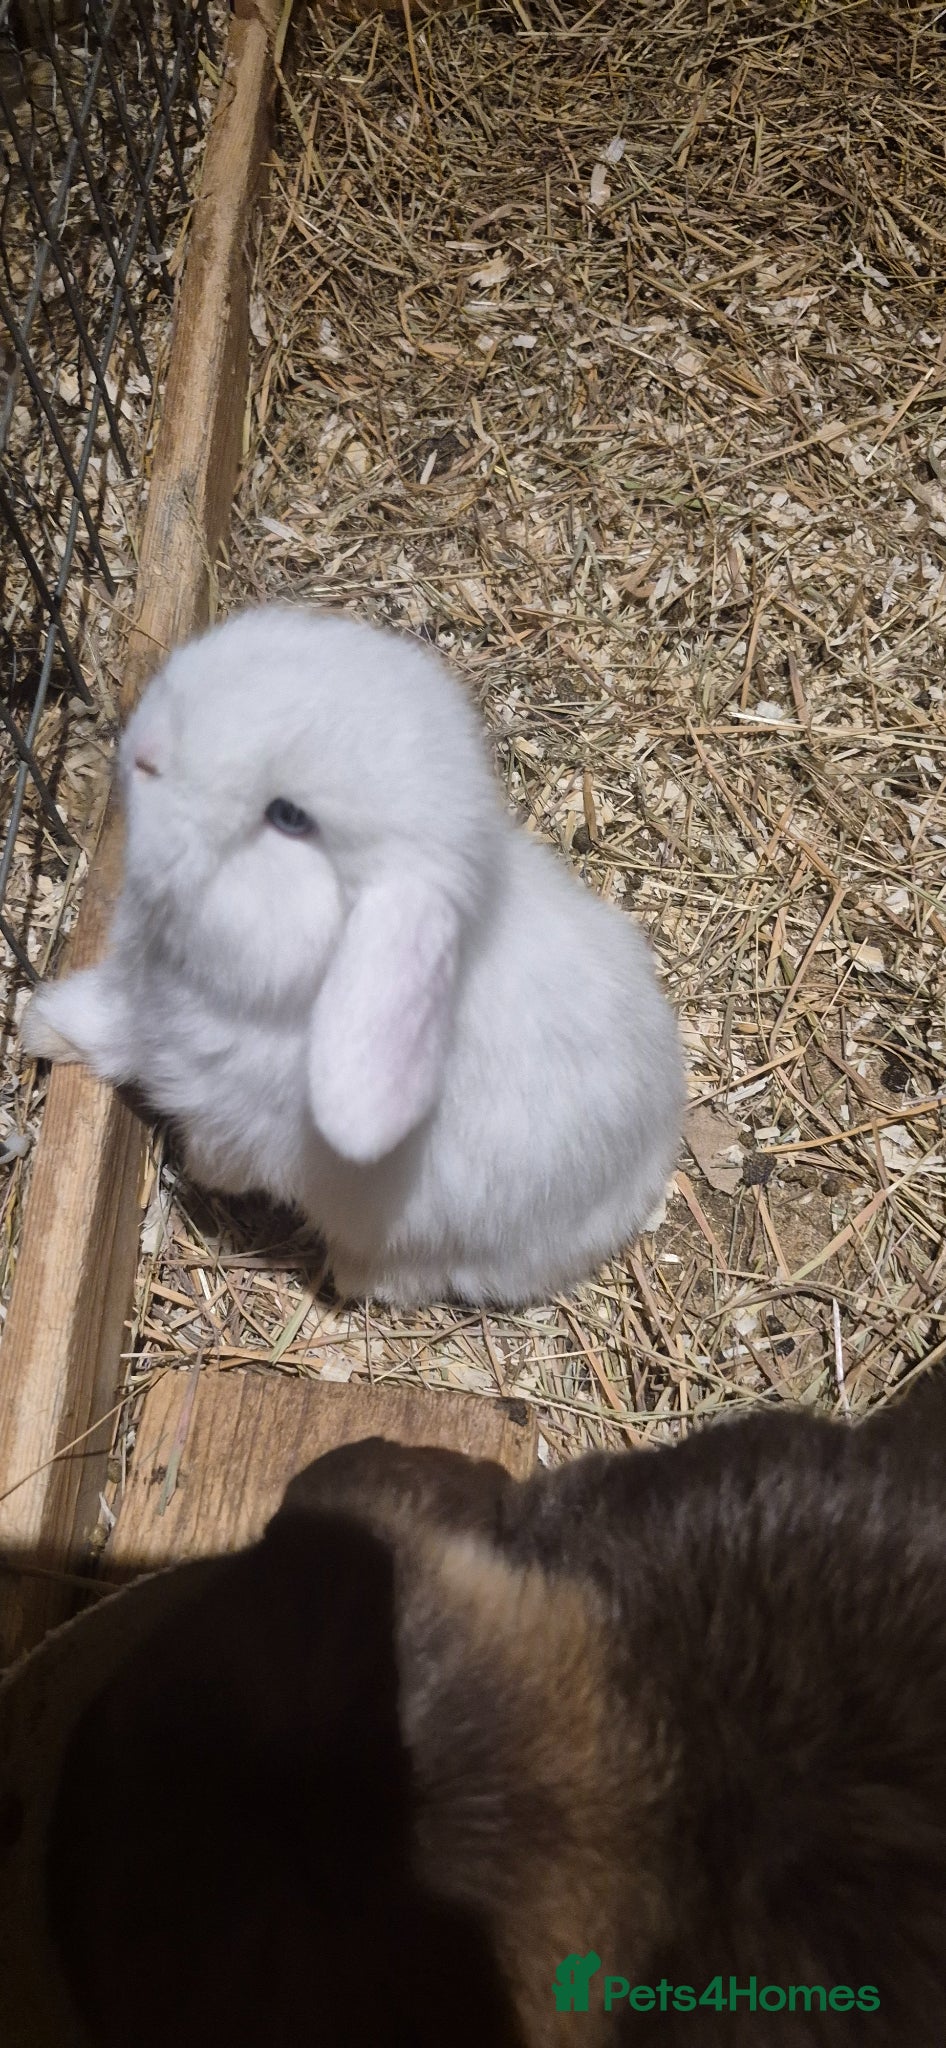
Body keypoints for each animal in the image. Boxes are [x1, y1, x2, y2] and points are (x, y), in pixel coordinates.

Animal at [21, 605, 685, 1307]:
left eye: (289, 817)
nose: (145, 750)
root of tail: (655, 1150)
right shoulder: (142, 1009)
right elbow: (105, 1026)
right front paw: (40, 1027)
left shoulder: (236, 1127)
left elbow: (216, 1154)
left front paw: (198, 1174)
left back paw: (353, 1271)